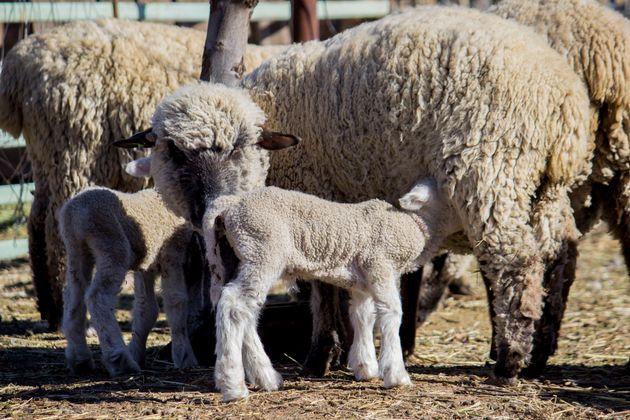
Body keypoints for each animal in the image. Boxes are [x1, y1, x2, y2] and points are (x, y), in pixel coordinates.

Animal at [0, 18, 286, 330]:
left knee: (37, 221)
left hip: (45, 154)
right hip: (74, 151)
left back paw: (49, 310)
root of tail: (18, 65)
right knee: (56, 230)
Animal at [59, 185, 200, 376]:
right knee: (97, 297)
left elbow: (146, 309)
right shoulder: (172, 254)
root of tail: (76, 211)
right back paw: (120, 360)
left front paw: (137, 352)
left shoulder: (146, 265)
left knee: (74, 296)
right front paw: (185, 357)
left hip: (76, 249)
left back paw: (80, 359)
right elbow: (176, 302)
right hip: (112, 245)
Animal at [202, 179, 460, 402]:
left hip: (231, 257)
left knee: (242, 310)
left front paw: (366, 367)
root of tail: (229, 205)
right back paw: (233, 385)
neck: (413, 226)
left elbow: (363, 316)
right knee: (234, 306)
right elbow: (391, 314)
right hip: (262, 250)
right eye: (450, 193)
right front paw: (396, 375)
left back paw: (267, 377)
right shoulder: (380, 265)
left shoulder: (363, 280)